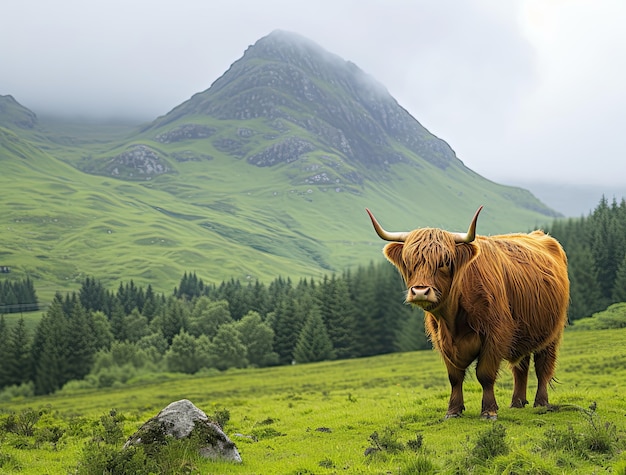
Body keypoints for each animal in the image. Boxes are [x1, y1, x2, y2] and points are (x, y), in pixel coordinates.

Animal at [364, 207, 568, 420]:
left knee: (543, 366)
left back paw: (541, 403)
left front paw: (489, 411)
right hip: (523, 332)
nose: (420, 291)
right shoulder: (442, 340)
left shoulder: (496, 334)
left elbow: (485, 374)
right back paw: (517, 403)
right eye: (408, 261)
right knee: (521, 367)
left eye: (445, 262)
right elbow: (454, 377)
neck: (452, 320)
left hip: (552, 333)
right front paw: (453, 410)